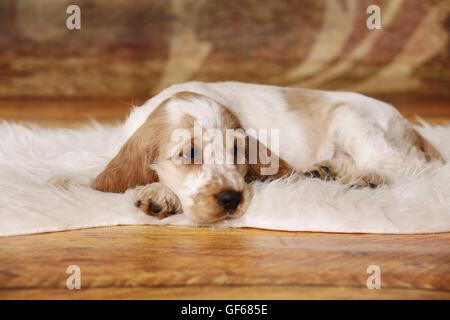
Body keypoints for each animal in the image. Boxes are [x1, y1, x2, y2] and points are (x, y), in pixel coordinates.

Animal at [91, 81, 442, 224]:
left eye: (237, 151)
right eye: (189, 154)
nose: (231, 199)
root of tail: (407, 124)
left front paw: (159, 194)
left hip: (350, 118)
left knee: (407, 166)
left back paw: (368, 178)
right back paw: (327, 171)